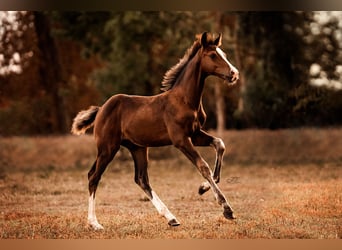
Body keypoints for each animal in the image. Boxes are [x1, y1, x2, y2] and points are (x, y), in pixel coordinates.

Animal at [71, 31, 239, 230]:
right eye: (213, 55)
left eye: (224, 54)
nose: (234, 73)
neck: (184, 100)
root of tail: (101, 109)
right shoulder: (180, 139)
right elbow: (202, 165)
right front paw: (226, 208)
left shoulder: (195, 134)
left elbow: (220, 144)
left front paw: (202, 187)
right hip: (108, 148)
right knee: (94, 177)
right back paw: (94, 223)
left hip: (137, 148)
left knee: (141, 178)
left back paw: (171, 218)